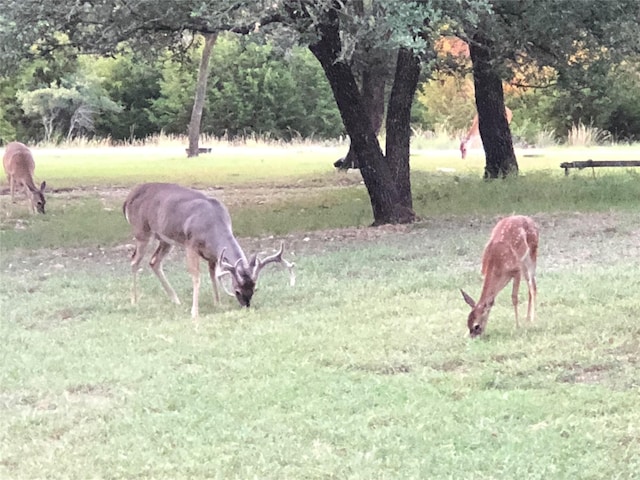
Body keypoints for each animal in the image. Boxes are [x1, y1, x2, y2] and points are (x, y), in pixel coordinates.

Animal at [122, 182, 296, 316]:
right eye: (237, 290)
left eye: (253, 288)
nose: (246, 305)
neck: (212, 225)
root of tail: (128, 199)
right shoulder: (190, 244)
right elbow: (196, 277)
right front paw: (194, 311)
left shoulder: (213, 254)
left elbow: (213, 275)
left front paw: (218, 303)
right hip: (141, 231)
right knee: (134, 261)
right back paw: (134, 300)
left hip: (165, 239)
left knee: (154, 262)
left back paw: (175, 300)